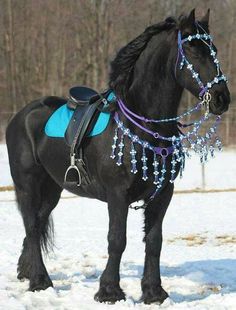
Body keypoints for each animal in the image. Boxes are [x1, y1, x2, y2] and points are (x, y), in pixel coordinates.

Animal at [5, 9, 230, 306]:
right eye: (193, 50)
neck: (145, 126)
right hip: (27, 185)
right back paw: (40, 282)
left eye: (213, 49)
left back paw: (27, 271)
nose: (222, 98)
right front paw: (109, 292)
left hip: (52, 188)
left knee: (37, 224)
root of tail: (21, 115)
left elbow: (154, 241)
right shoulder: (117, 195)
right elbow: (117, 240)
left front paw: (154, 292)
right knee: (32, 226)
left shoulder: (163, 194)